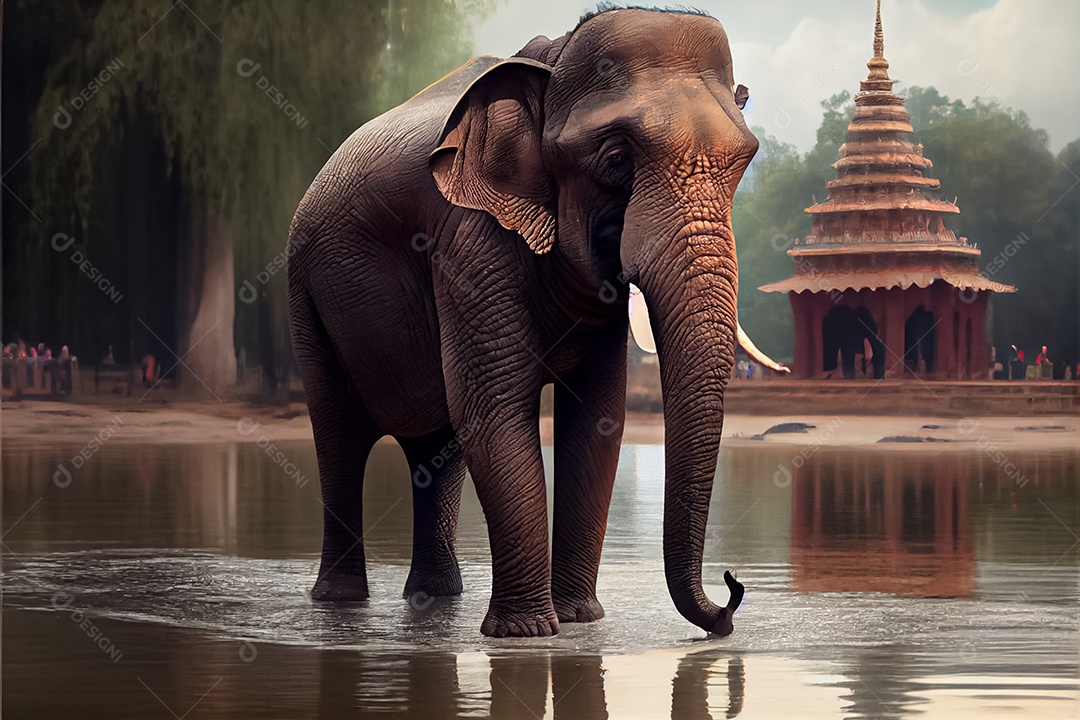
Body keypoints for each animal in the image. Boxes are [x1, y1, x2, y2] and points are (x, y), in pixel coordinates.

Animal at [288, 7, 773, 637]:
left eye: (744, 164)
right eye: (616, 159)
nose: (732, 592)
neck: (552, 59)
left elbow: (597, 419)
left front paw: (578, 620)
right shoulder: (469, 238)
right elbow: (496, 408)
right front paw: (529, 634)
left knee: (435, 447)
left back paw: (435, 598)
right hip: (304, 295)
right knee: (339, 435)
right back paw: (342, 604)